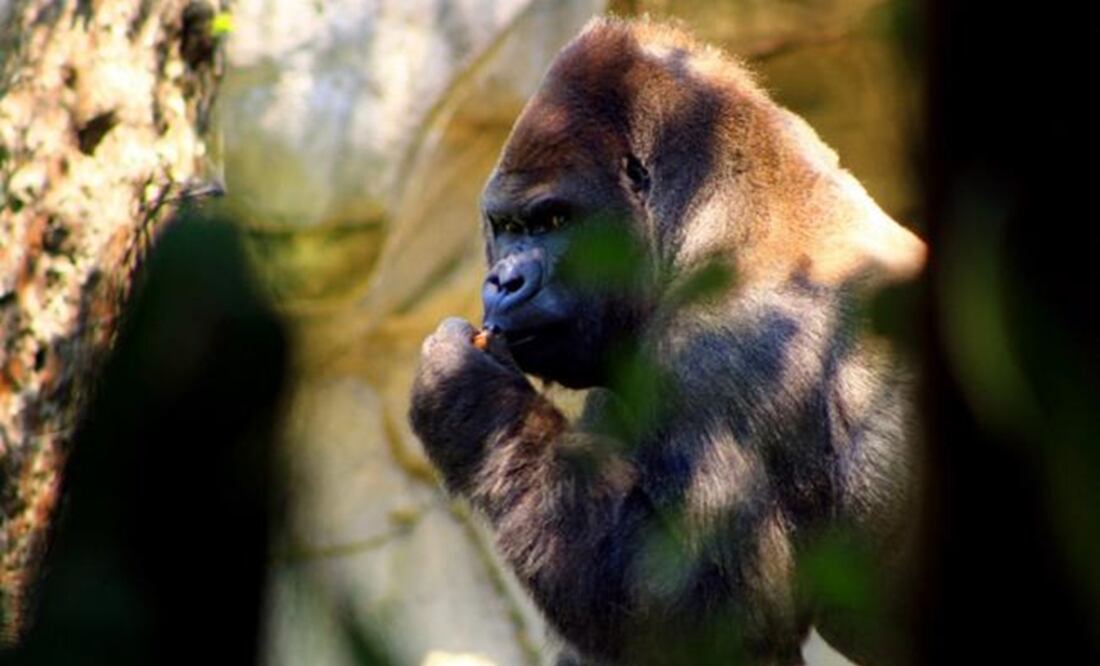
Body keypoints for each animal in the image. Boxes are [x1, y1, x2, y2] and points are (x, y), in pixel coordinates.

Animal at [409, 17, 926, 666]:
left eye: (553, 221)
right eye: (507, 228)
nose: (504, 281)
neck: (724, 211)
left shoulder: (716, 348)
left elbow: (713, 616)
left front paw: (467, 397)